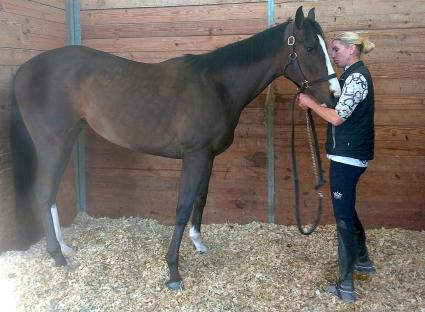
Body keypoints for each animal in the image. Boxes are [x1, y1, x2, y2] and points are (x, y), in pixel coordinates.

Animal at [9, 6, 340, 290]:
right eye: (310, 48)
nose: (335, 96)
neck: (217, 85)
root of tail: (24, 70)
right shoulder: (194, 155)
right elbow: (182, 206)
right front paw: (173, 271)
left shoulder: (207, 156)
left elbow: (201, 199)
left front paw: (199, 243)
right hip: (53, 141)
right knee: (43, 193)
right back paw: (58, 256)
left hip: (68, 137)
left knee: (51, 194)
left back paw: (65, 247)